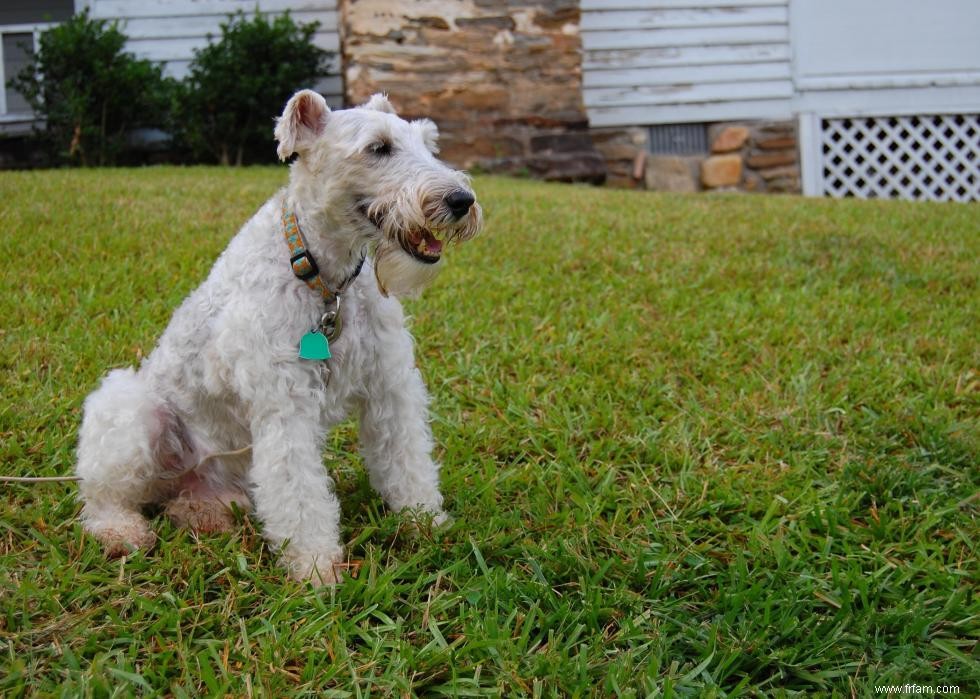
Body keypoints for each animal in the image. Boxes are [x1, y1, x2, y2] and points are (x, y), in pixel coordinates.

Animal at [74, 90, 480, 588]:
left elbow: (406, 459)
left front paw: (425, 521)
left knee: (185, 503)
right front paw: (316, 567)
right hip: (131, 412)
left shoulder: (390, 386)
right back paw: (122, 532)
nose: (462, 200)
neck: (324, 278)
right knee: (103, 497)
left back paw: (204, 515)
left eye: (428, 144)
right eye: (379, 147)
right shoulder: (284, 403)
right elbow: (298, 488)